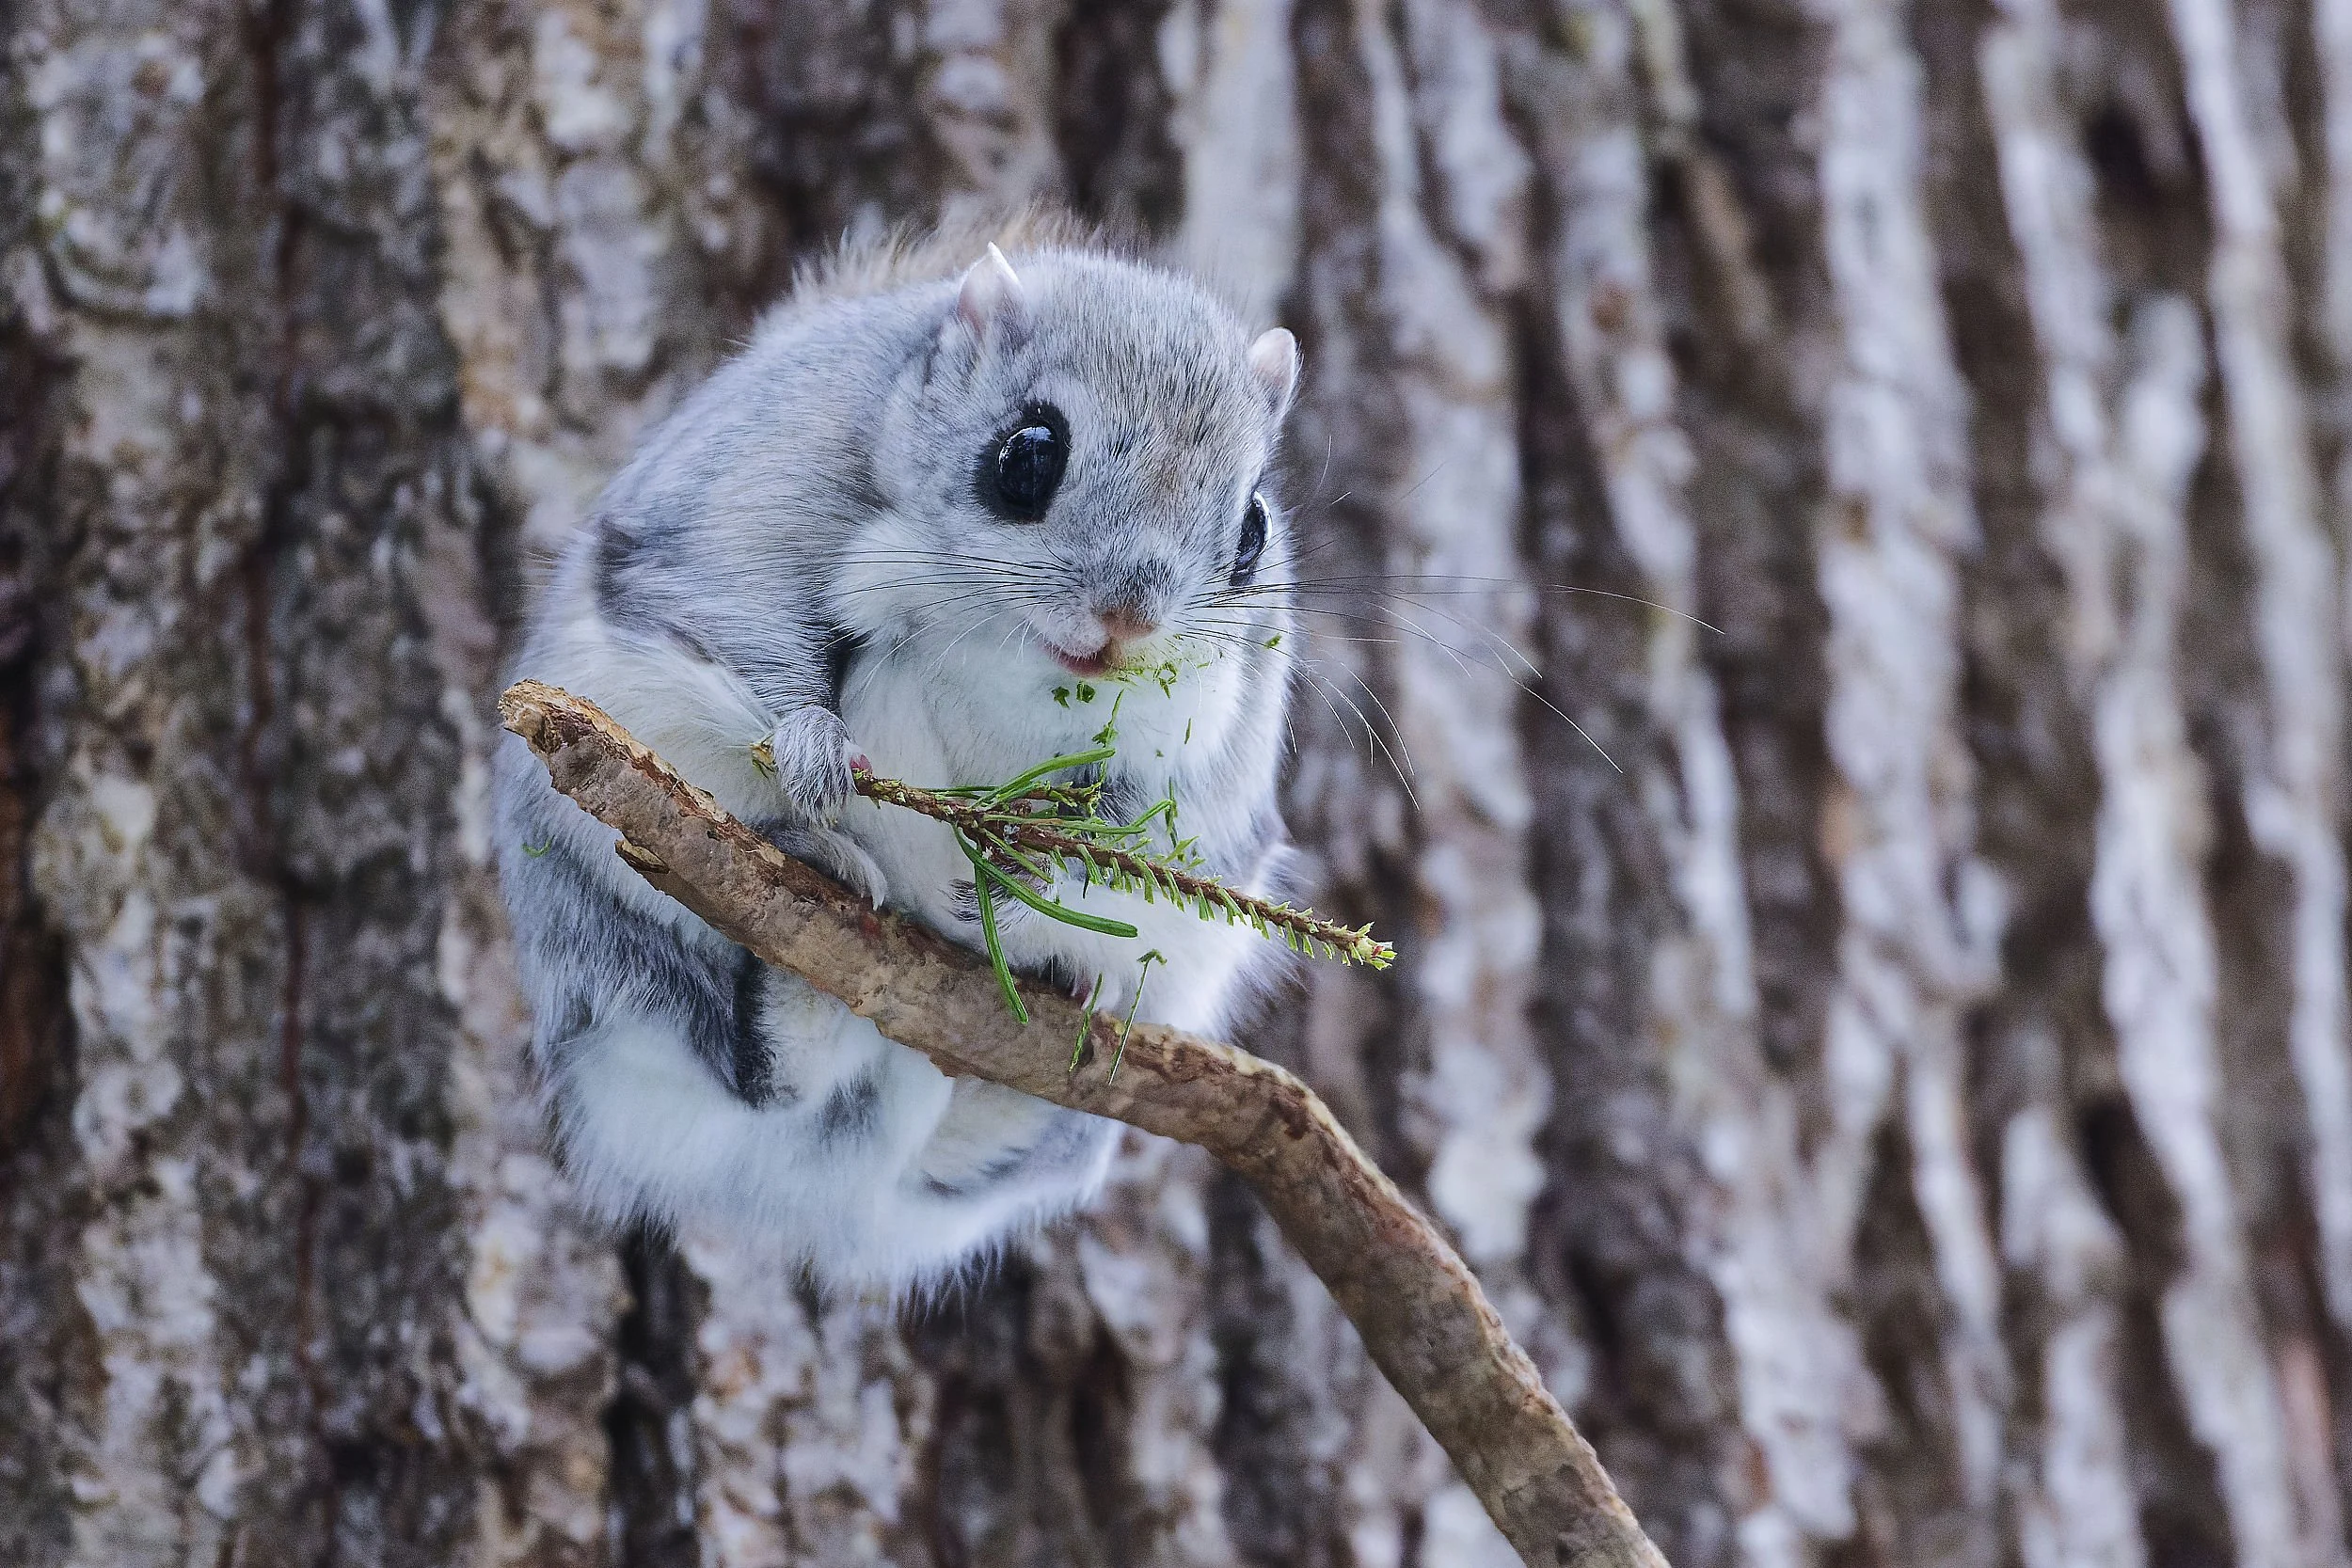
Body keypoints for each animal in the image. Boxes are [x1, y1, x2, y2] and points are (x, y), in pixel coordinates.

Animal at [495, 219, 1302, 1291]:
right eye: (1027, 455)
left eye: (1252, 530)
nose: (1127, 621)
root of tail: (792, 1196)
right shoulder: (749, 514)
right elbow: (746, 645)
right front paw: (811, 750)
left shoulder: (1215, 749)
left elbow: (1153, 820)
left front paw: (1044, 873)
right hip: (620, 952)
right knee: (756, 1072)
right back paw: (807, 926)